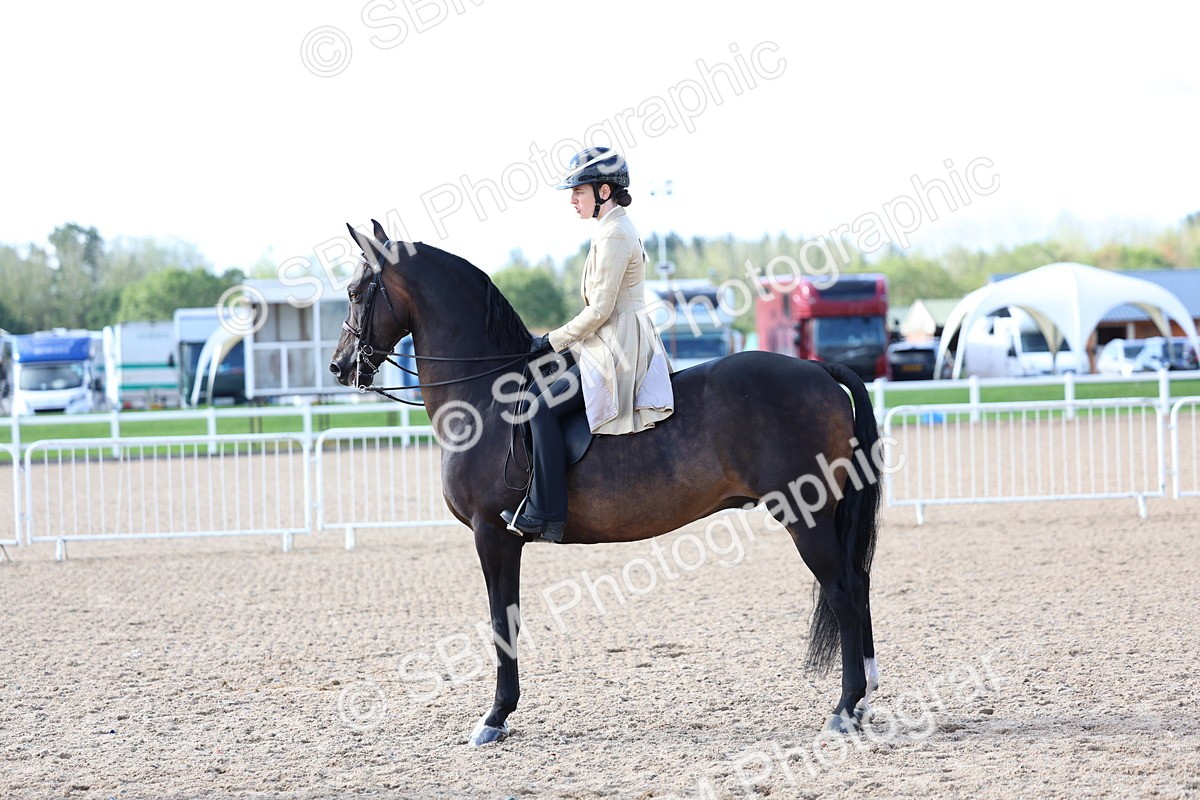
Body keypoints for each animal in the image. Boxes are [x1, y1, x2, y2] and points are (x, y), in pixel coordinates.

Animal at [328, 221, 882, 746]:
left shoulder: (492, 533)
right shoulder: (503, 539)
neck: (485, 394)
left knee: (844, 590)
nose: (339, 365)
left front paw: (495, 717)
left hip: (805, 513)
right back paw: (864, 699)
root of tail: (819, 371)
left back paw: (844, 709)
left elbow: (501, 621)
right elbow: (508, 616)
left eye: (355, 291)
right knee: (858, 583)